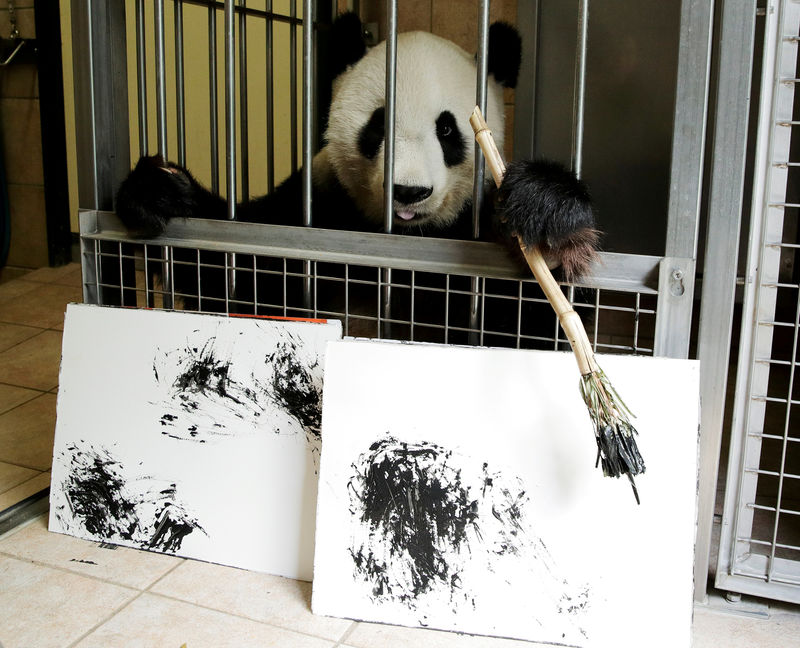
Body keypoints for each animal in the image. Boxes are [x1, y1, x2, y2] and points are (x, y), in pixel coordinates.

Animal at [115, 12, 596, 312]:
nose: (409, 192)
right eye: (378, 124)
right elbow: (236, 277)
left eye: (447, 130)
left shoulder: (468, 228)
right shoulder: (318, 206)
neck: (406, 235)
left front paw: (549, 221)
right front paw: (159, 191)